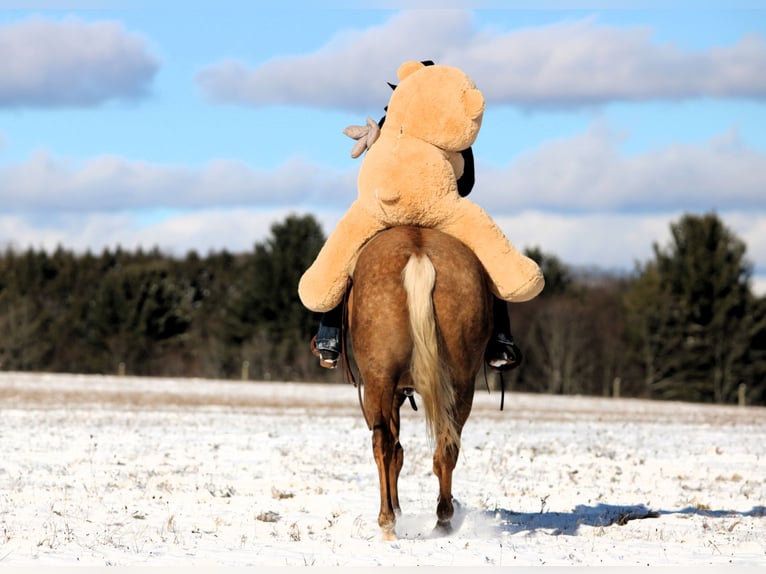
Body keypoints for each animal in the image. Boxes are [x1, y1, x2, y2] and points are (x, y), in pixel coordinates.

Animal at [346, 225, 493, 540]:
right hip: (460, 383)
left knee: (382, 444)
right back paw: (443, 520)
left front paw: (396, 509)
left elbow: (395, 450)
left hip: (378, 382)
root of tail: (418, 253)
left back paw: (388, 522)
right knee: (447, 445)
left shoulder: (389, 392)